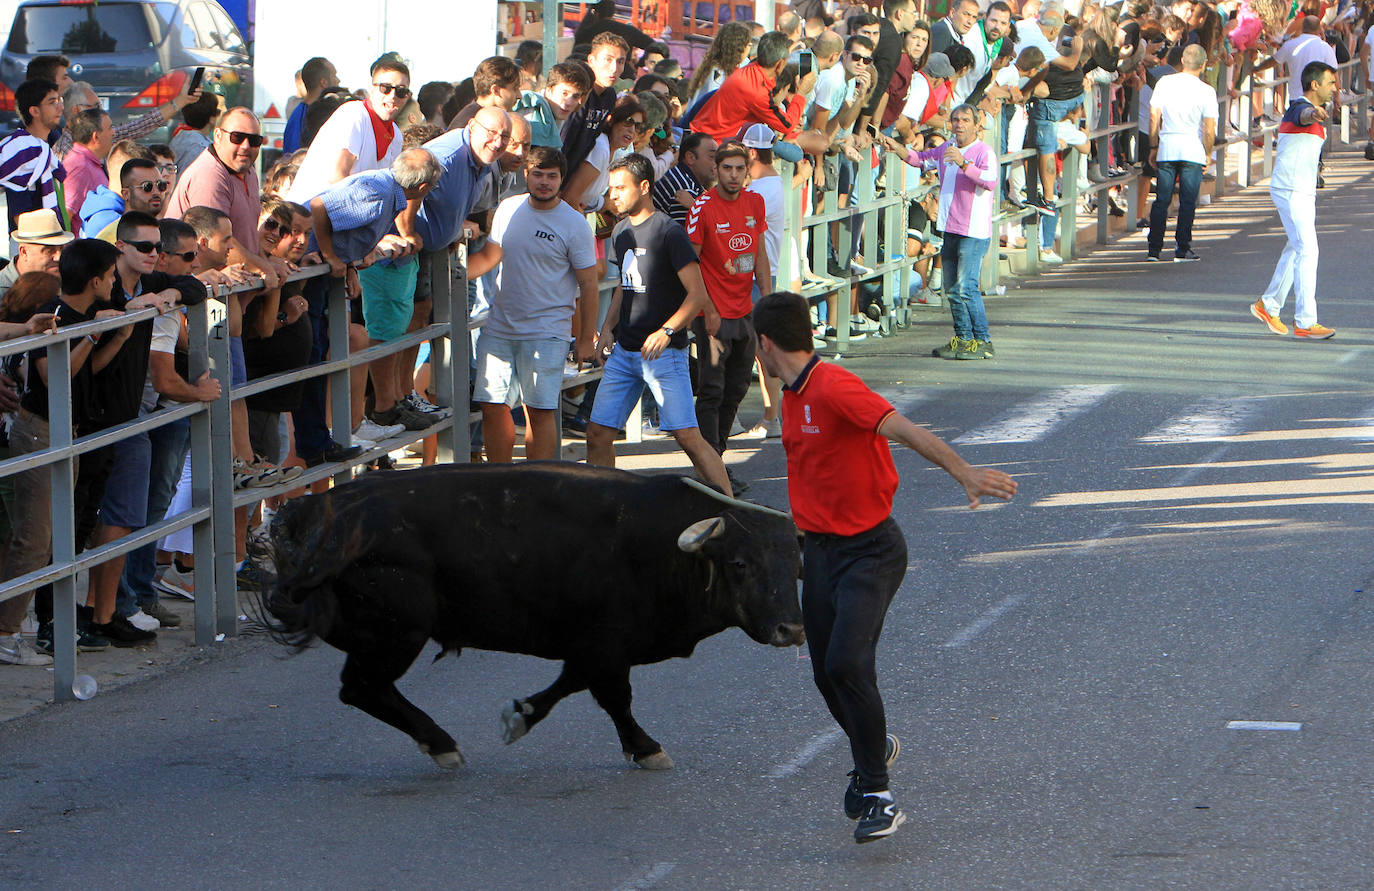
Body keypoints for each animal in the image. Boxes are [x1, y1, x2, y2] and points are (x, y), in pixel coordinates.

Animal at [259, 462, 802, 770]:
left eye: (796, 567)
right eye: (739, 563)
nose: (792, 630)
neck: (661, 548)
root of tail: (321, 510)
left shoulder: (592, 646)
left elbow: (570, 685)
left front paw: (520, 714)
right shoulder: (605, 645)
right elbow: (614, 698)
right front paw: (646, 748)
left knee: (364, 689)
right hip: (399, 632)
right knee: (362, 688)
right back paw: (441, 744)